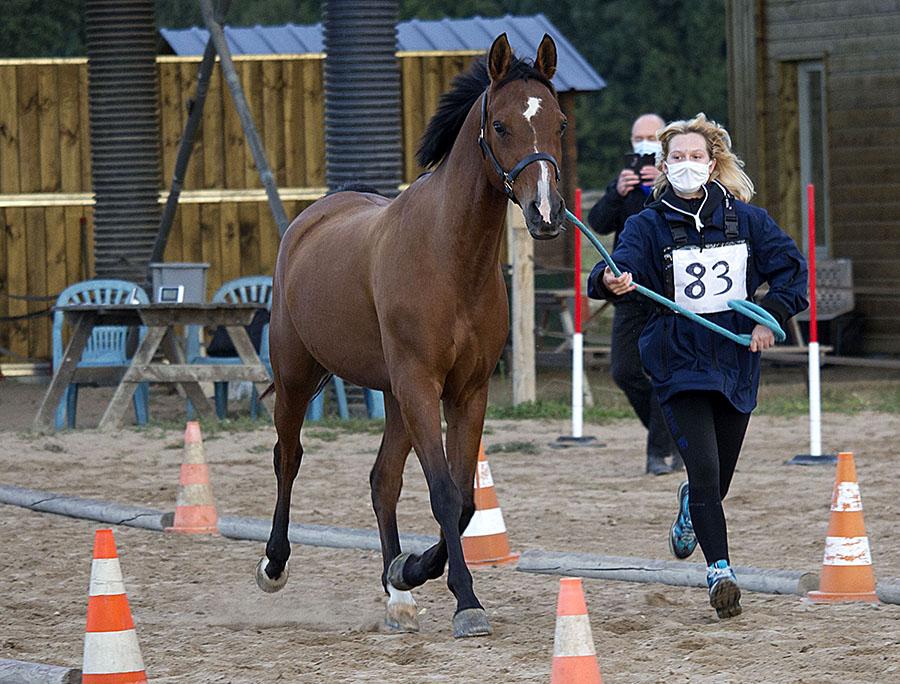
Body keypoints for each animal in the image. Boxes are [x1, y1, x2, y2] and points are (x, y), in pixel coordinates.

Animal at [255, 34, 564, 640]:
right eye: (500, 126)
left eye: (558, 122)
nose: (545, 212)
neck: (450, 257)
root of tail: (312, 219)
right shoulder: (423, 386)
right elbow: (444, 493)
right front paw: (466, 602)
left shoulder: (467, 392)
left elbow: (464, 501)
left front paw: (411, 570)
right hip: (298, 377)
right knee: (289, 457)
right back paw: (274, 565)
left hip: (394, 396)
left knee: (383, 481)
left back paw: (397, 594)